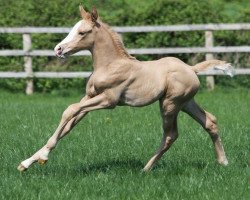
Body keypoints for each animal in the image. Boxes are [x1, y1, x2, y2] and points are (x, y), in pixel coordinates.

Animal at [18, 6, 232, 172]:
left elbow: (69, 110)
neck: (110, 65)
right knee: (210, 122)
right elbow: (70, 122)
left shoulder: (109, 100)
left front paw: (43, 157)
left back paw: (145, 169)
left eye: (82, 32)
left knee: (171, 134)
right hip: (186, 102)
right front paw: (27, 162)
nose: (58, 50)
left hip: (170, 104)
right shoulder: (89, 97)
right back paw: (223, 162)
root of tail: (191, 68)